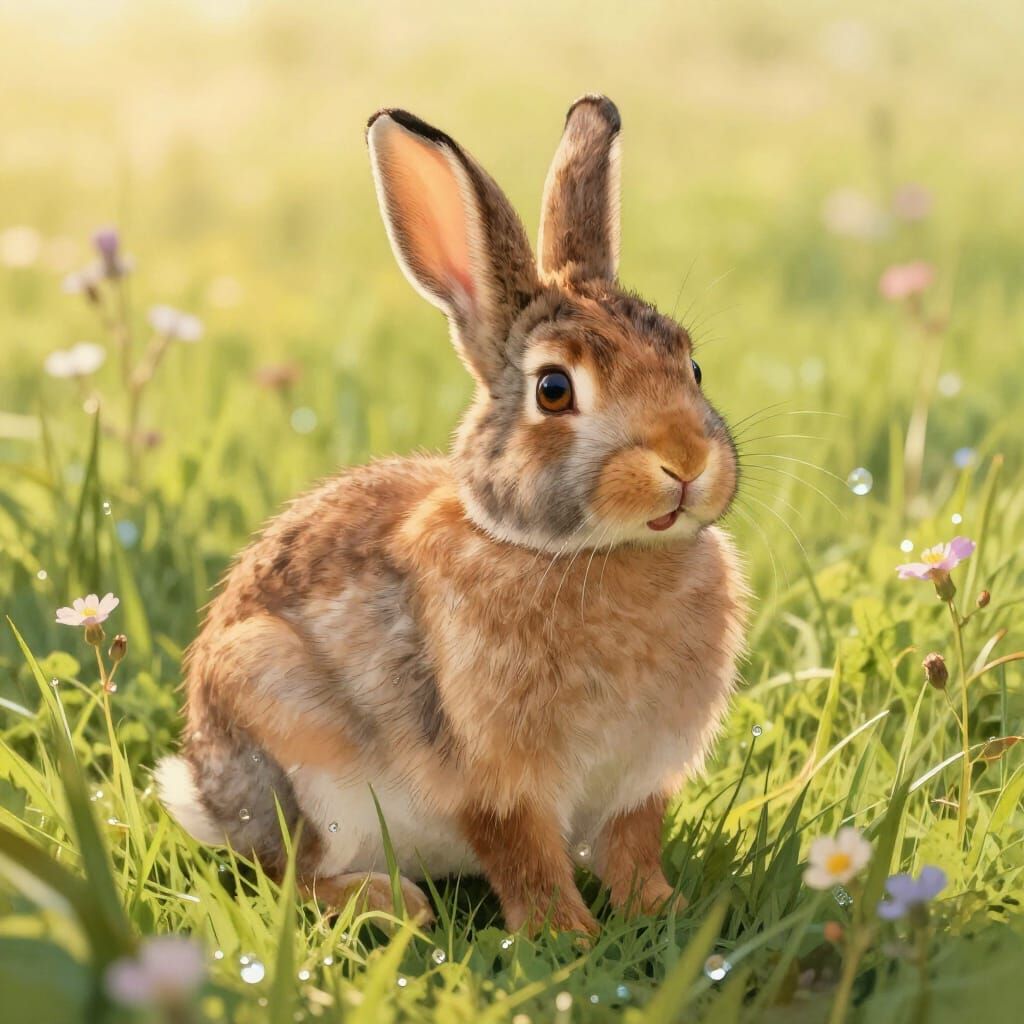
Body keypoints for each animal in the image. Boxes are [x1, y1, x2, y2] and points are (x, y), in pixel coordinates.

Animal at [157, 94, 747, 935]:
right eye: (554, 390)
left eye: (691, 366)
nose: (687, 464)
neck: (585, 553)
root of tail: (205, 796)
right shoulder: (494, 778)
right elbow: (525, 856)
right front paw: (568, 936)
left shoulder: (640, 779)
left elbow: (634, 850)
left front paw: (670, 914)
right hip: (287, 739)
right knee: (289, 875)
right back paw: (389, 903)